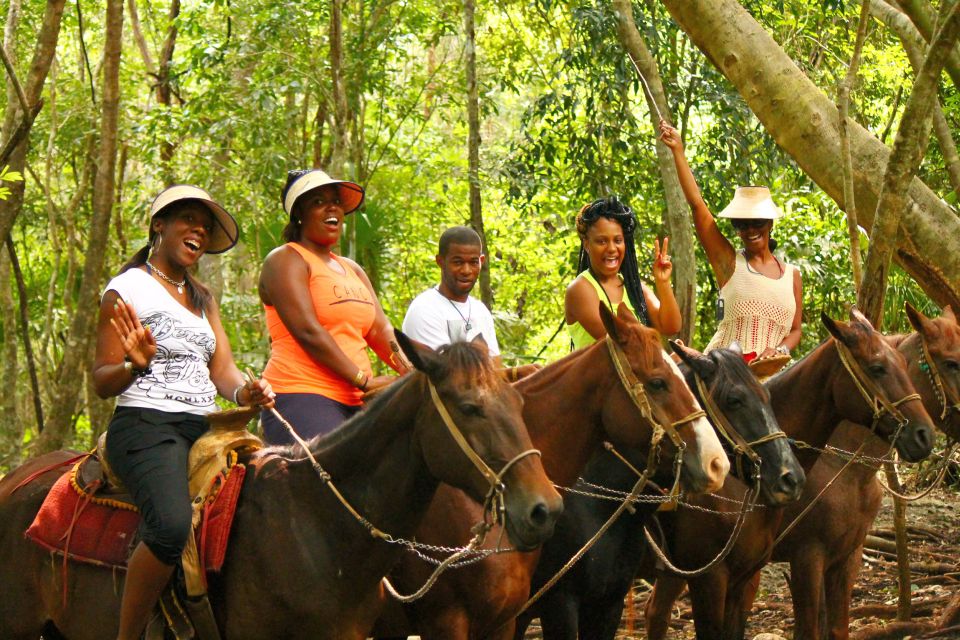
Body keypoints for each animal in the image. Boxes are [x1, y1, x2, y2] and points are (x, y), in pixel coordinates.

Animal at [752, 302, 960, 636]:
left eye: (903, 364)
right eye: (952, 363)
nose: (923, 436)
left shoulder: (846, 557)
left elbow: (837, 629)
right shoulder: (807, 557)